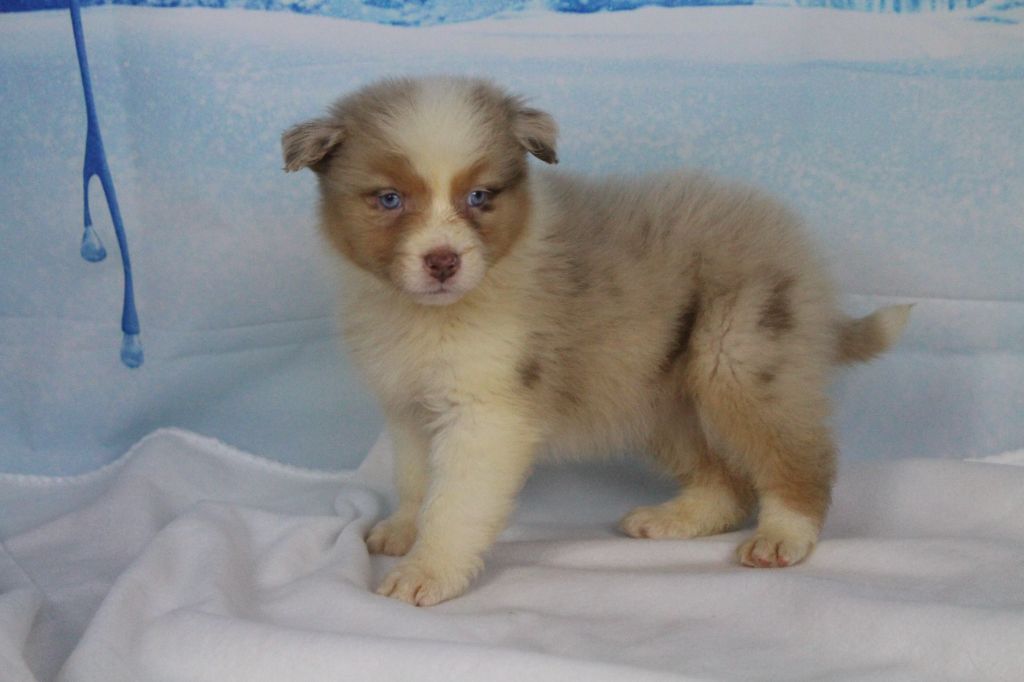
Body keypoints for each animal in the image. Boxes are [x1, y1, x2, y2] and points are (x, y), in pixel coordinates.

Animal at [282, 76, 911, 606]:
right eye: (390, 199)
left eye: (479, 197)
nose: (443, 262)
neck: (429, 314)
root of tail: (794, 247)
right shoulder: (409, 404)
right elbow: (415, 479)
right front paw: (402, 530)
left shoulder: (488, 412)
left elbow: (455, 502)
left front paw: (426, 572)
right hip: (657, 394)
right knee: (727, 482)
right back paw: (676, 519)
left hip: (738, 355)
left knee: (797, 455)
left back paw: (784, 535)